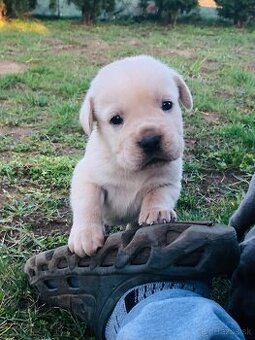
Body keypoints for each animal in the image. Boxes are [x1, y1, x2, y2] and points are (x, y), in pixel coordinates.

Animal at [68, 55, 192, 256]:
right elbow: (88, 204)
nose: (150, 140)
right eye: (116, 120)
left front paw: (157, 212)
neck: (132, 169)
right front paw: (85, 235)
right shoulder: (86, 178)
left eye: (167, 105)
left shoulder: (168, 181)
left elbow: (158, 194)